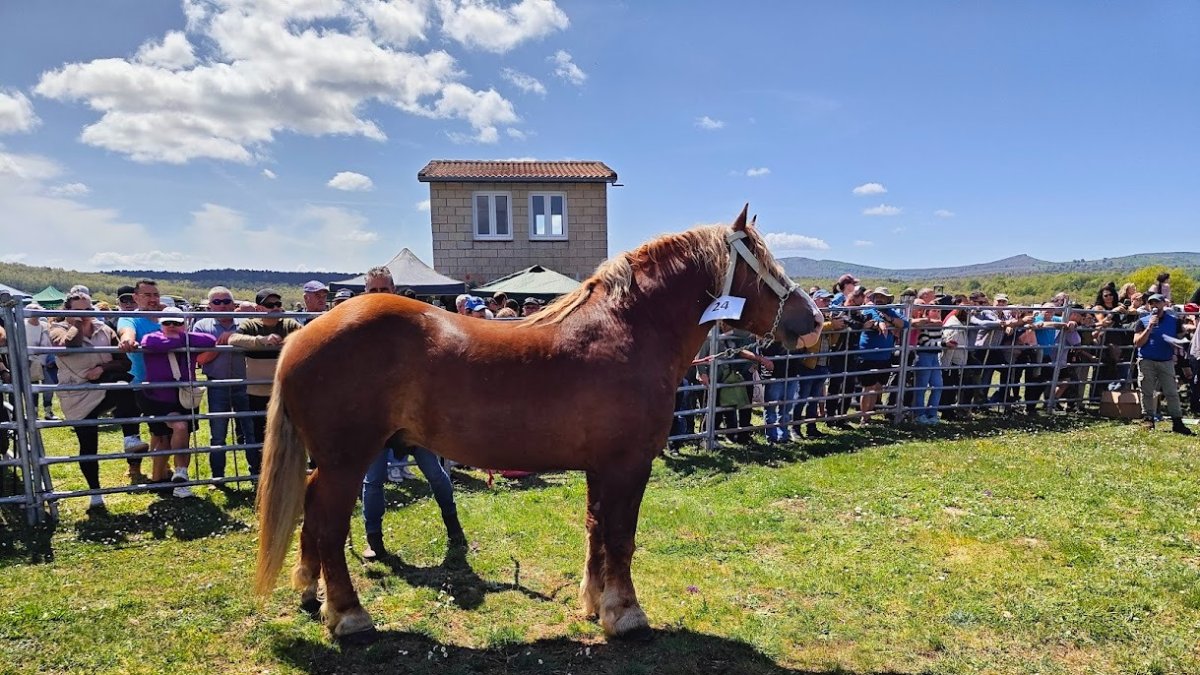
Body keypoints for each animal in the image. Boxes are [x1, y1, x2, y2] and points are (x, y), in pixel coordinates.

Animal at [254, 205, 824, 640]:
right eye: (762, 263)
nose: (814, 320)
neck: (628, 331)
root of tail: (303, 335)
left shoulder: (602, 467)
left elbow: (597, 529)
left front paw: (594, 603)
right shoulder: (629, 464)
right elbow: (621, 536)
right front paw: (626, 614)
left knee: (310, 513)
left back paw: (310, 592)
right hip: (348, 461)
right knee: (328, 525)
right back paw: (349, 616)